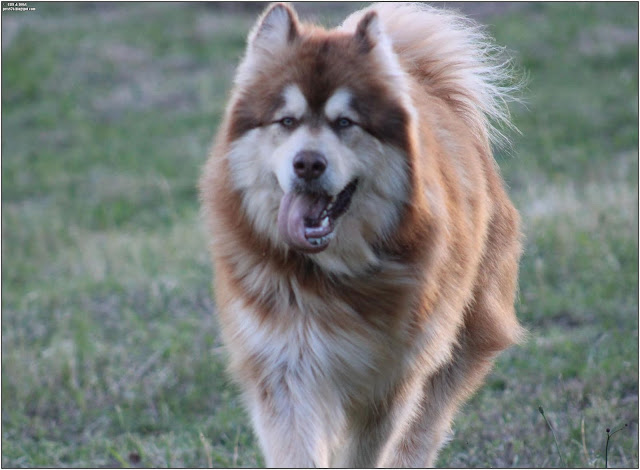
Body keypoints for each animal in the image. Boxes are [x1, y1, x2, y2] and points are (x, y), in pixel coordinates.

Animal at [200, 2, 524, 466]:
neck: (331, 275)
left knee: (419, 435)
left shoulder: (389, 380)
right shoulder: (284, 365)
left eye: (345, 122)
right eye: (287, 120)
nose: (308, 164)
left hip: (457, 343)